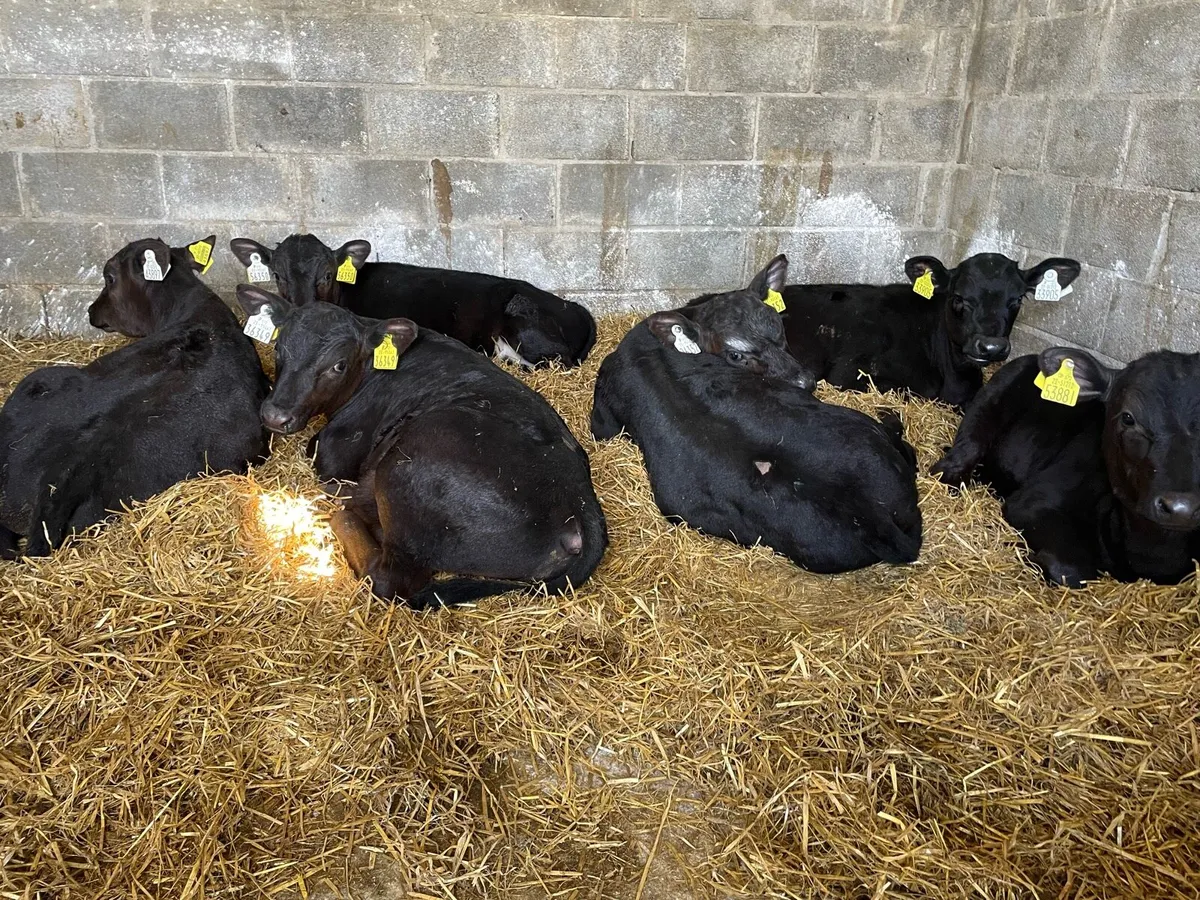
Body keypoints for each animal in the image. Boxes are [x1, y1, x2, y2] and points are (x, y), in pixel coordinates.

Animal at [234, 285, 607, 609]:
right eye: (278, 350)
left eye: (338, 365)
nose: (275, 415)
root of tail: (581, 503)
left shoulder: (334, 448)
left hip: (413, 463)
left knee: (388, 577)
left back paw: (348, 513)